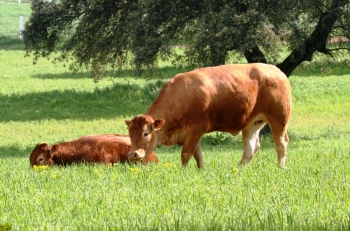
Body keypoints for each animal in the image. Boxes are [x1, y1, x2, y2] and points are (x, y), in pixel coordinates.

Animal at [124, 63, 292, 168]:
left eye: (146, 133)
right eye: (130, 134)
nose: (133, 154)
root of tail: (276, 70)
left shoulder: (196, 129)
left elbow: (186, 154)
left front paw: (183, 172)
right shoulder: (192, 134)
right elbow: (198, 155)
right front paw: (201, 171)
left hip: (279, 118)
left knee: (281, 144)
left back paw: (280, 167)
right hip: (252, 123)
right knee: (250, 148)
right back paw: (239, 169)